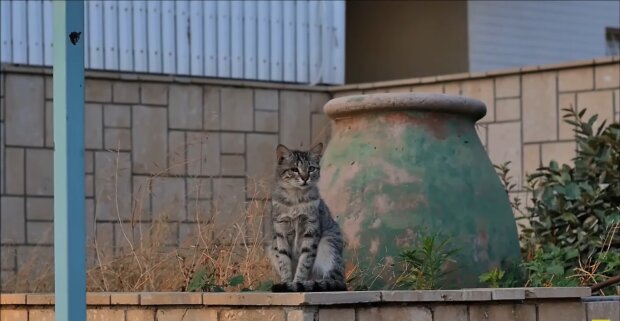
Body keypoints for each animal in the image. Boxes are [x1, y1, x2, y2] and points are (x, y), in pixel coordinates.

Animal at [268, 142, 348, 290]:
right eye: (294, 169)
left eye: (311, 168)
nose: (305, 178)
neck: (295, 199)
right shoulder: (281, 232)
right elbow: (284, 263)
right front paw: (286, 282)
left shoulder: (311, 230)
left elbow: (304, 263)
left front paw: (296, 283)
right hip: (272, 247)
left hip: (328, 244)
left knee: (332, 279)